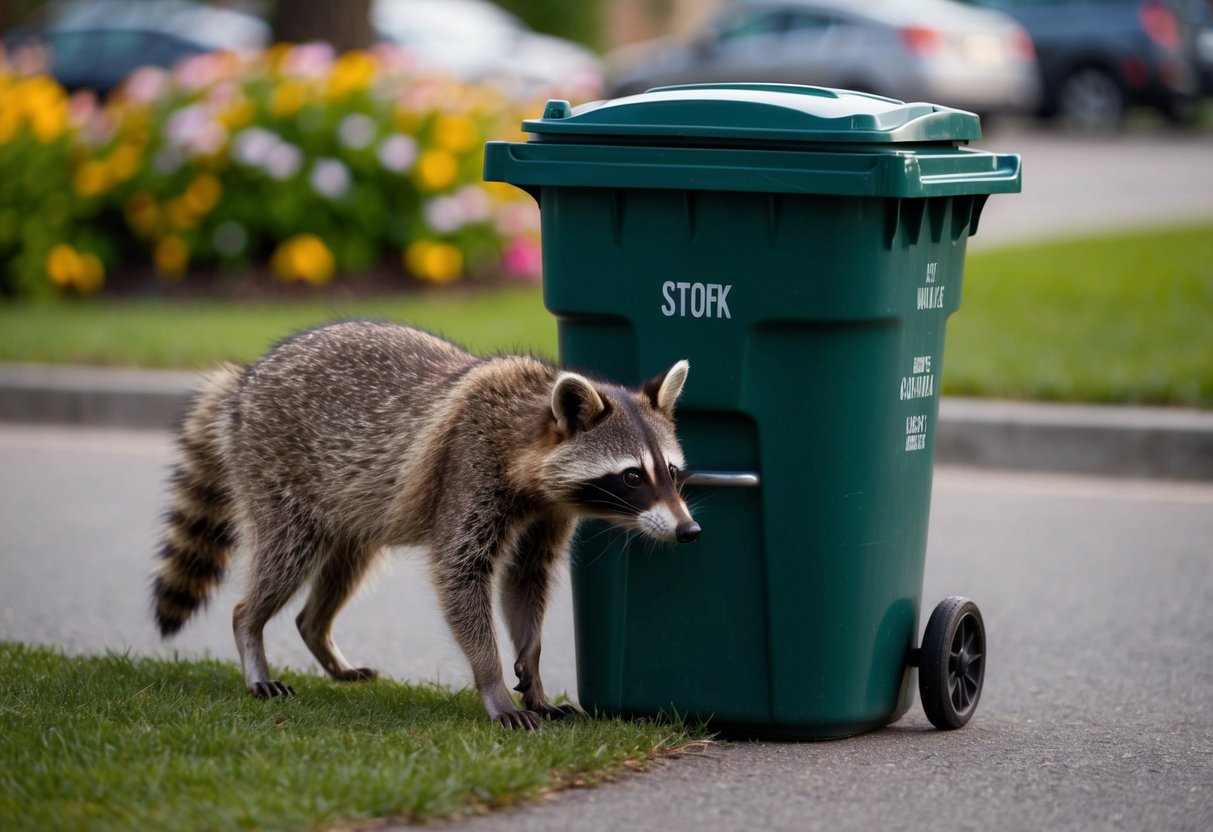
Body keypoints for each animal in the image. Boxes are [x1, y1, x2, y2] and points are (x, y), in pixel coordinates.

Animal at [151, 321, 698, 729]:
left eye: (672, 472)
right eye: (632, 476)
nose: (688, 531)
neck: (529, 422)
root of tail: (245, 380)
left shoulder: (548, 512)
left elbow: (527, 579)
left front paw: (533, 666)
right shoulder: (469, 466)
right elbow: (459, 573)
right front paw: (493, 683)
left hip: (356, 507)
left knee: (344, 568)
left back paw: (320, 636)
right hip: (274, 470)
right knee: (285, 556)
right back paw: (251, 631)